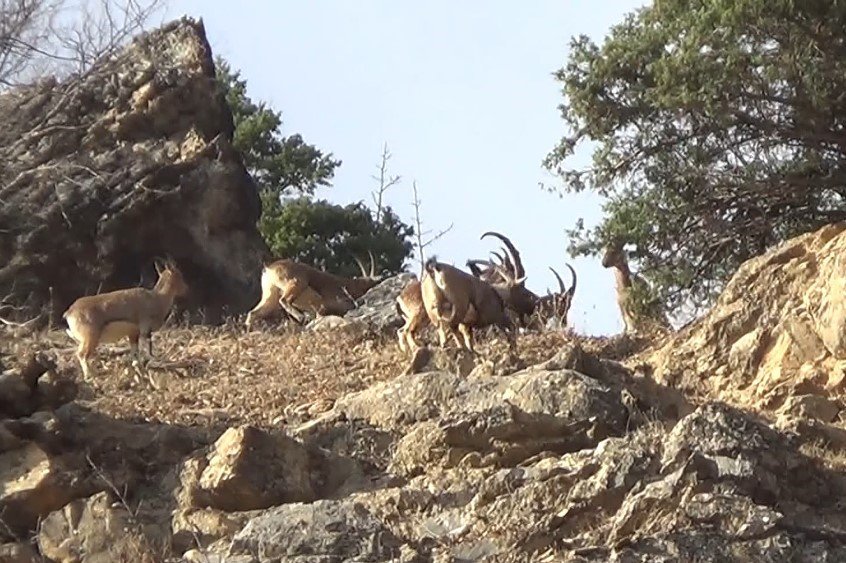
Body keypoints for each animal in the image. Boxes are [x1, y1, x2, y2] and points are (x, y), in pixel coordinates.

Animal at [243, 252, 380, 330]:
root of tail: (269, 267)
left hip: (270, 296)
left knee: (253, 313)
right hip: (297, 283)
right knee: (284, 300)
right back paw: (301, 317)